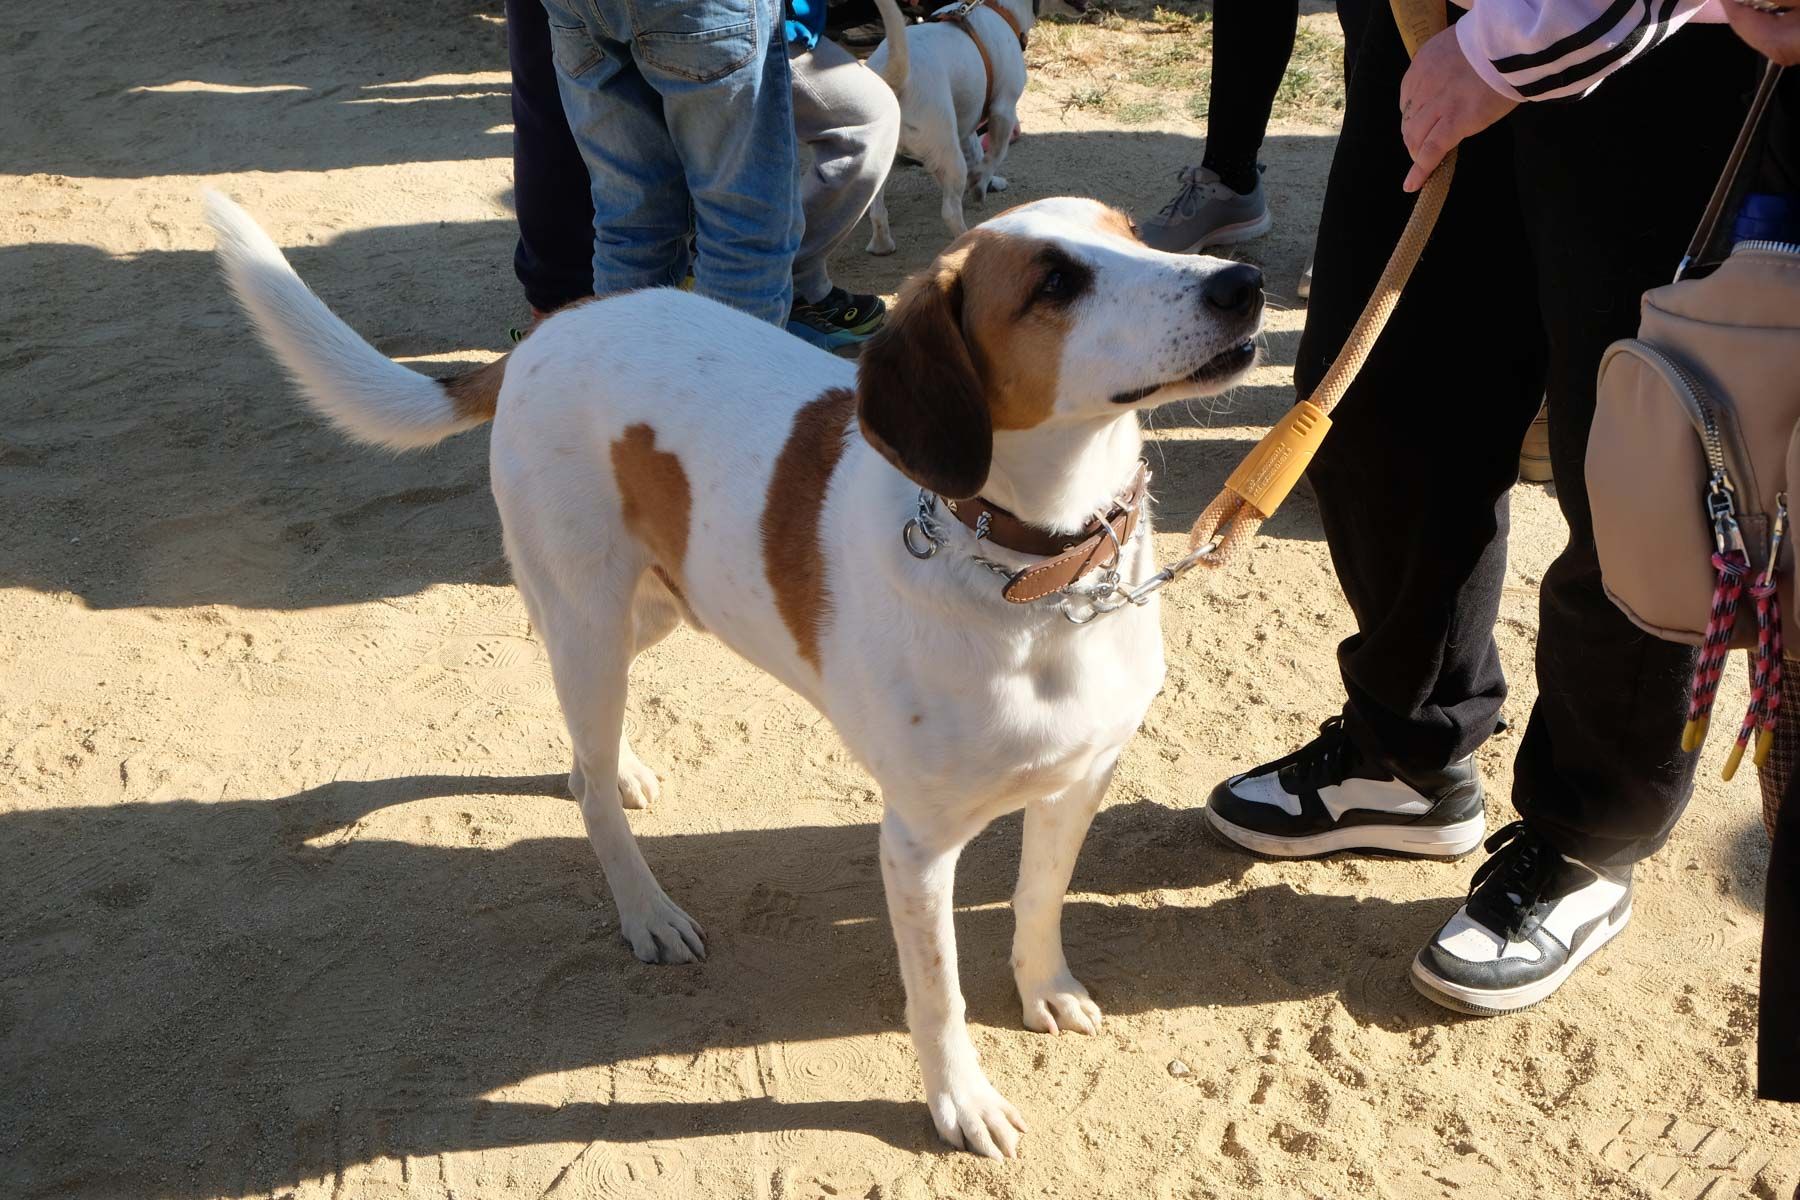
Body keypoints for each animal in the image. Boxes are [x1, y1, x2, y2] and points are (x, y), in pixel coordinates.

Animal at [864, 0, 1036, 253]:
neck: (1001, 8)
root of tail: (894, 79)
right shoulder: (1003, 110)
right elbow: (995, 155)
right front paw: (980, 184)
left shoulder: (968, 122)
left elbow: (978, 153)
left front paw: (988, 182)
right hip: (951, 155)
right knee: (950, 211)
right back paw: (965, 241)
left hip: (880, 160)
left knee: (876, 208)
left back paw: (881, 244)